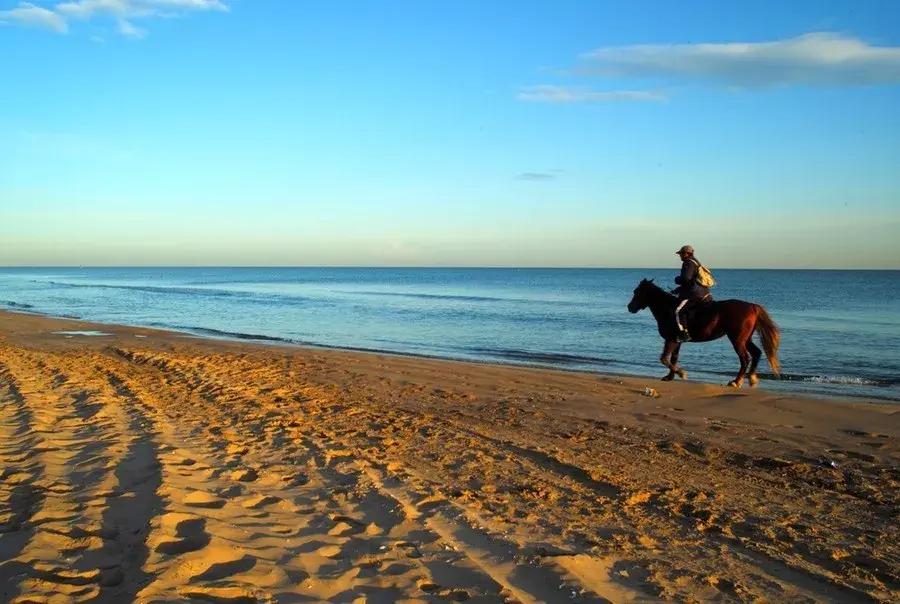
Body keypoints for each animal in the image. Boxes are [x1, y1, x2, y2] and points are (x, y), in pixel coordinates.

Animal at [624, 278, 780, 386]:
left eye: (637, 292)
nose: (630, 307)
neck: (668, 309)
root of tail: (752, 306)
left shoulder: (671, 339)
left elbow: (664, 358)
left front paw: (681, 373)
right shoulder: (677, 341)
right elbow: (673, 358)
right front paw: (670, 377)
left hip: (737, 339)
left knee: (745, 358)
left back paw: (736, 381)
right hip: (746, 339)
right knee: (756, 353)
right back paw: (752, 379)